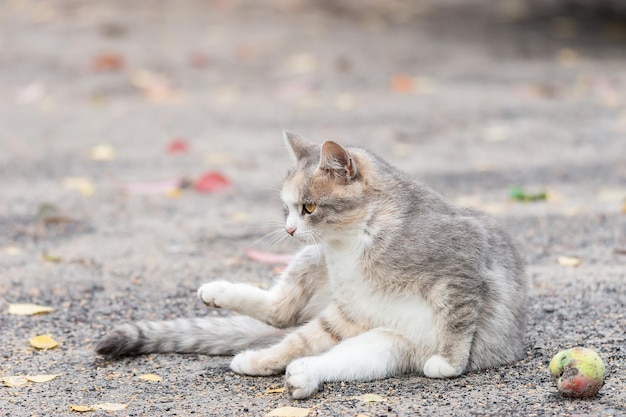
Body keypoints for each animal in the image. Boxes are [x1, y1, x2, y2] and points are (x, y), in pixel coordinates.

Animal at [96, 132, 528, 398]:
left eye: (308, 207)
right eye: (286, 208)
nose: (289, 229)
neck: (353, 244)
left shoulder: (462, 265)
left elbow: (457, 318)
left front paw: (450, 363)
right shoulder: (351, 308)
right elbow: (297, 334)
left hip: (384, 344)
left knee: (322, 352)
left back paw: (304, 375)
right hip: (318, 270)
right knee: (284, 318)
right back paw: (239, 322)